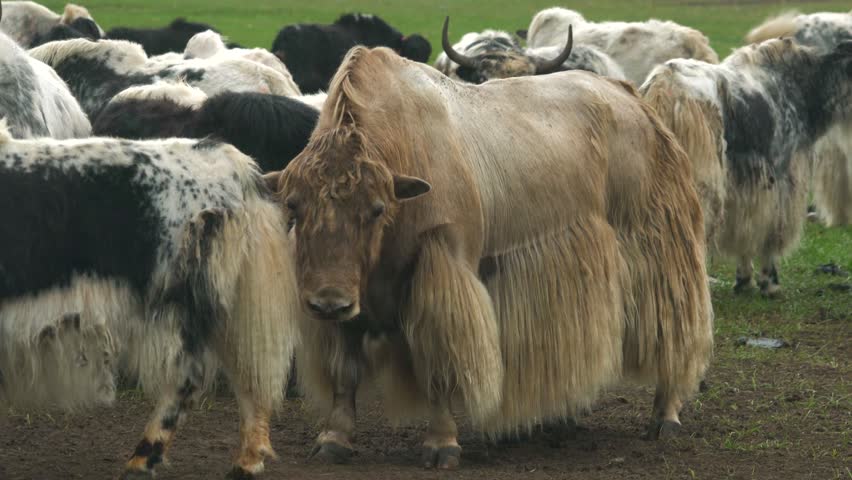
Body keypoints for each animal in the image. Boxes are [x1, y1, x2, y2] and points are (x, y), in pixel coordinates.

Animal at [0, 121, 301, 478]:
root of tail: (229, 160)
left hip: (182, 306)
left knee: (188, 379)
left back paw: (141, 461)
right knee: (245, 370)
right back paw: (247, 461)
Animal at [263, 36, 713, 469]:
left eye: (376, 209)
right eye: (294, 206)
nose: (328, 304)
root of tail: (631, 97)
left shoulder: (441, 275)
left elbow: (439, 364)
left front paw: (442, 445)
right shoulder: (350, 297)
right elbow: (345, 371)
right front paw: (333, 440)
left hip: (657, 250)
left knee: (673, 328)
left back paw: (665, 417)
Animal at [640, 38, 852, 297]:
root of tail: (663, 89)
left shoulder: (744, 188)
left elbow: (744, 229)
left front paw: (744, 281)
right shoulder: (780, 180)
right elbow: (770, 231)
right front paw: (770, 284)